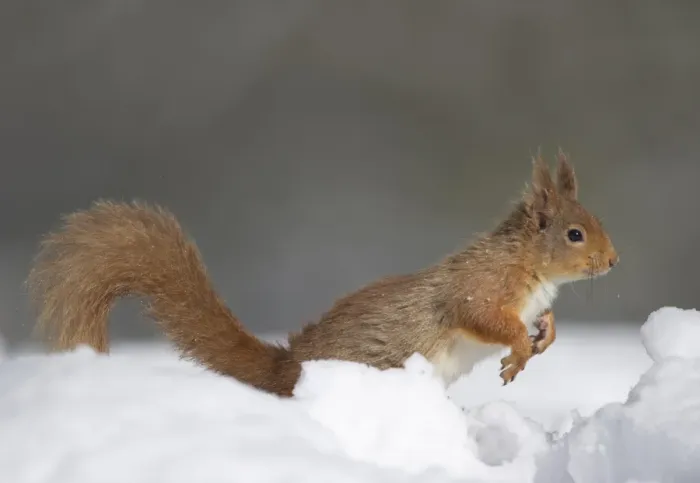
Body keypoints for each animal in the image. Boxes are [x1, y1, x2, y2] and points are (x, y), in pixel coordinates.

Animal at [26, 150, 618, 397]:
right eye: (574, 234)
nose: (613, 261)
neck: (530, 268)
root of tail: (287, 369)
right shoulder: (480, 288)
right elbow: (485, 318)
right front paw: (517, 352)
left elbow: (544, 325)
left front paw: (544, 338)